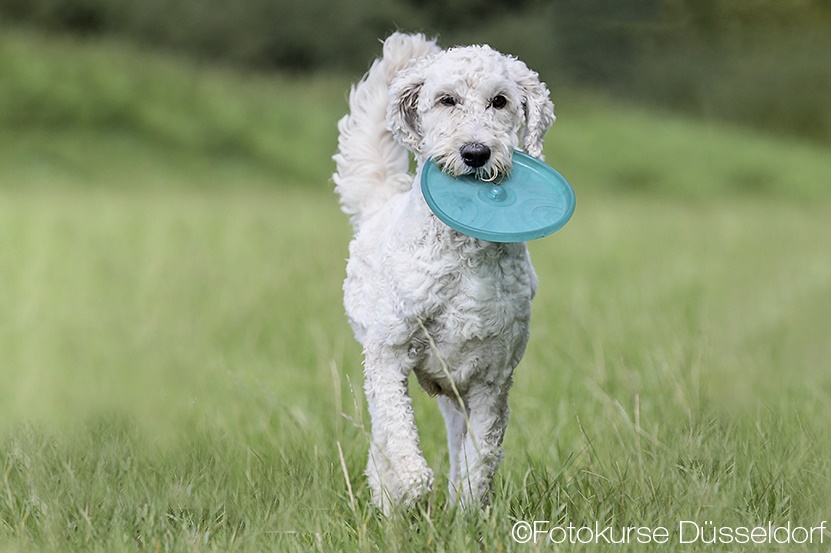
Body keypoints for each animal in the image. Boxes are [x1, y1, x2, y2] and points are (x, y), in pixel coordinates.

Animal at [332, 32, 552, 512]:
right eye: (446, 100)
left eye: (499, 101)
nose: (476, 152)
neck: (466, 256)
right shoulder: (387, 354)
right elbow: (398, 431)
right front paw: (411, 485)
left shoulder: (491, 380)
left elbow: (480, 457)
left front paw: (468, 510)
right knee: (381, 440)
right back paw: (390, 497)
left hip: (454, 393)